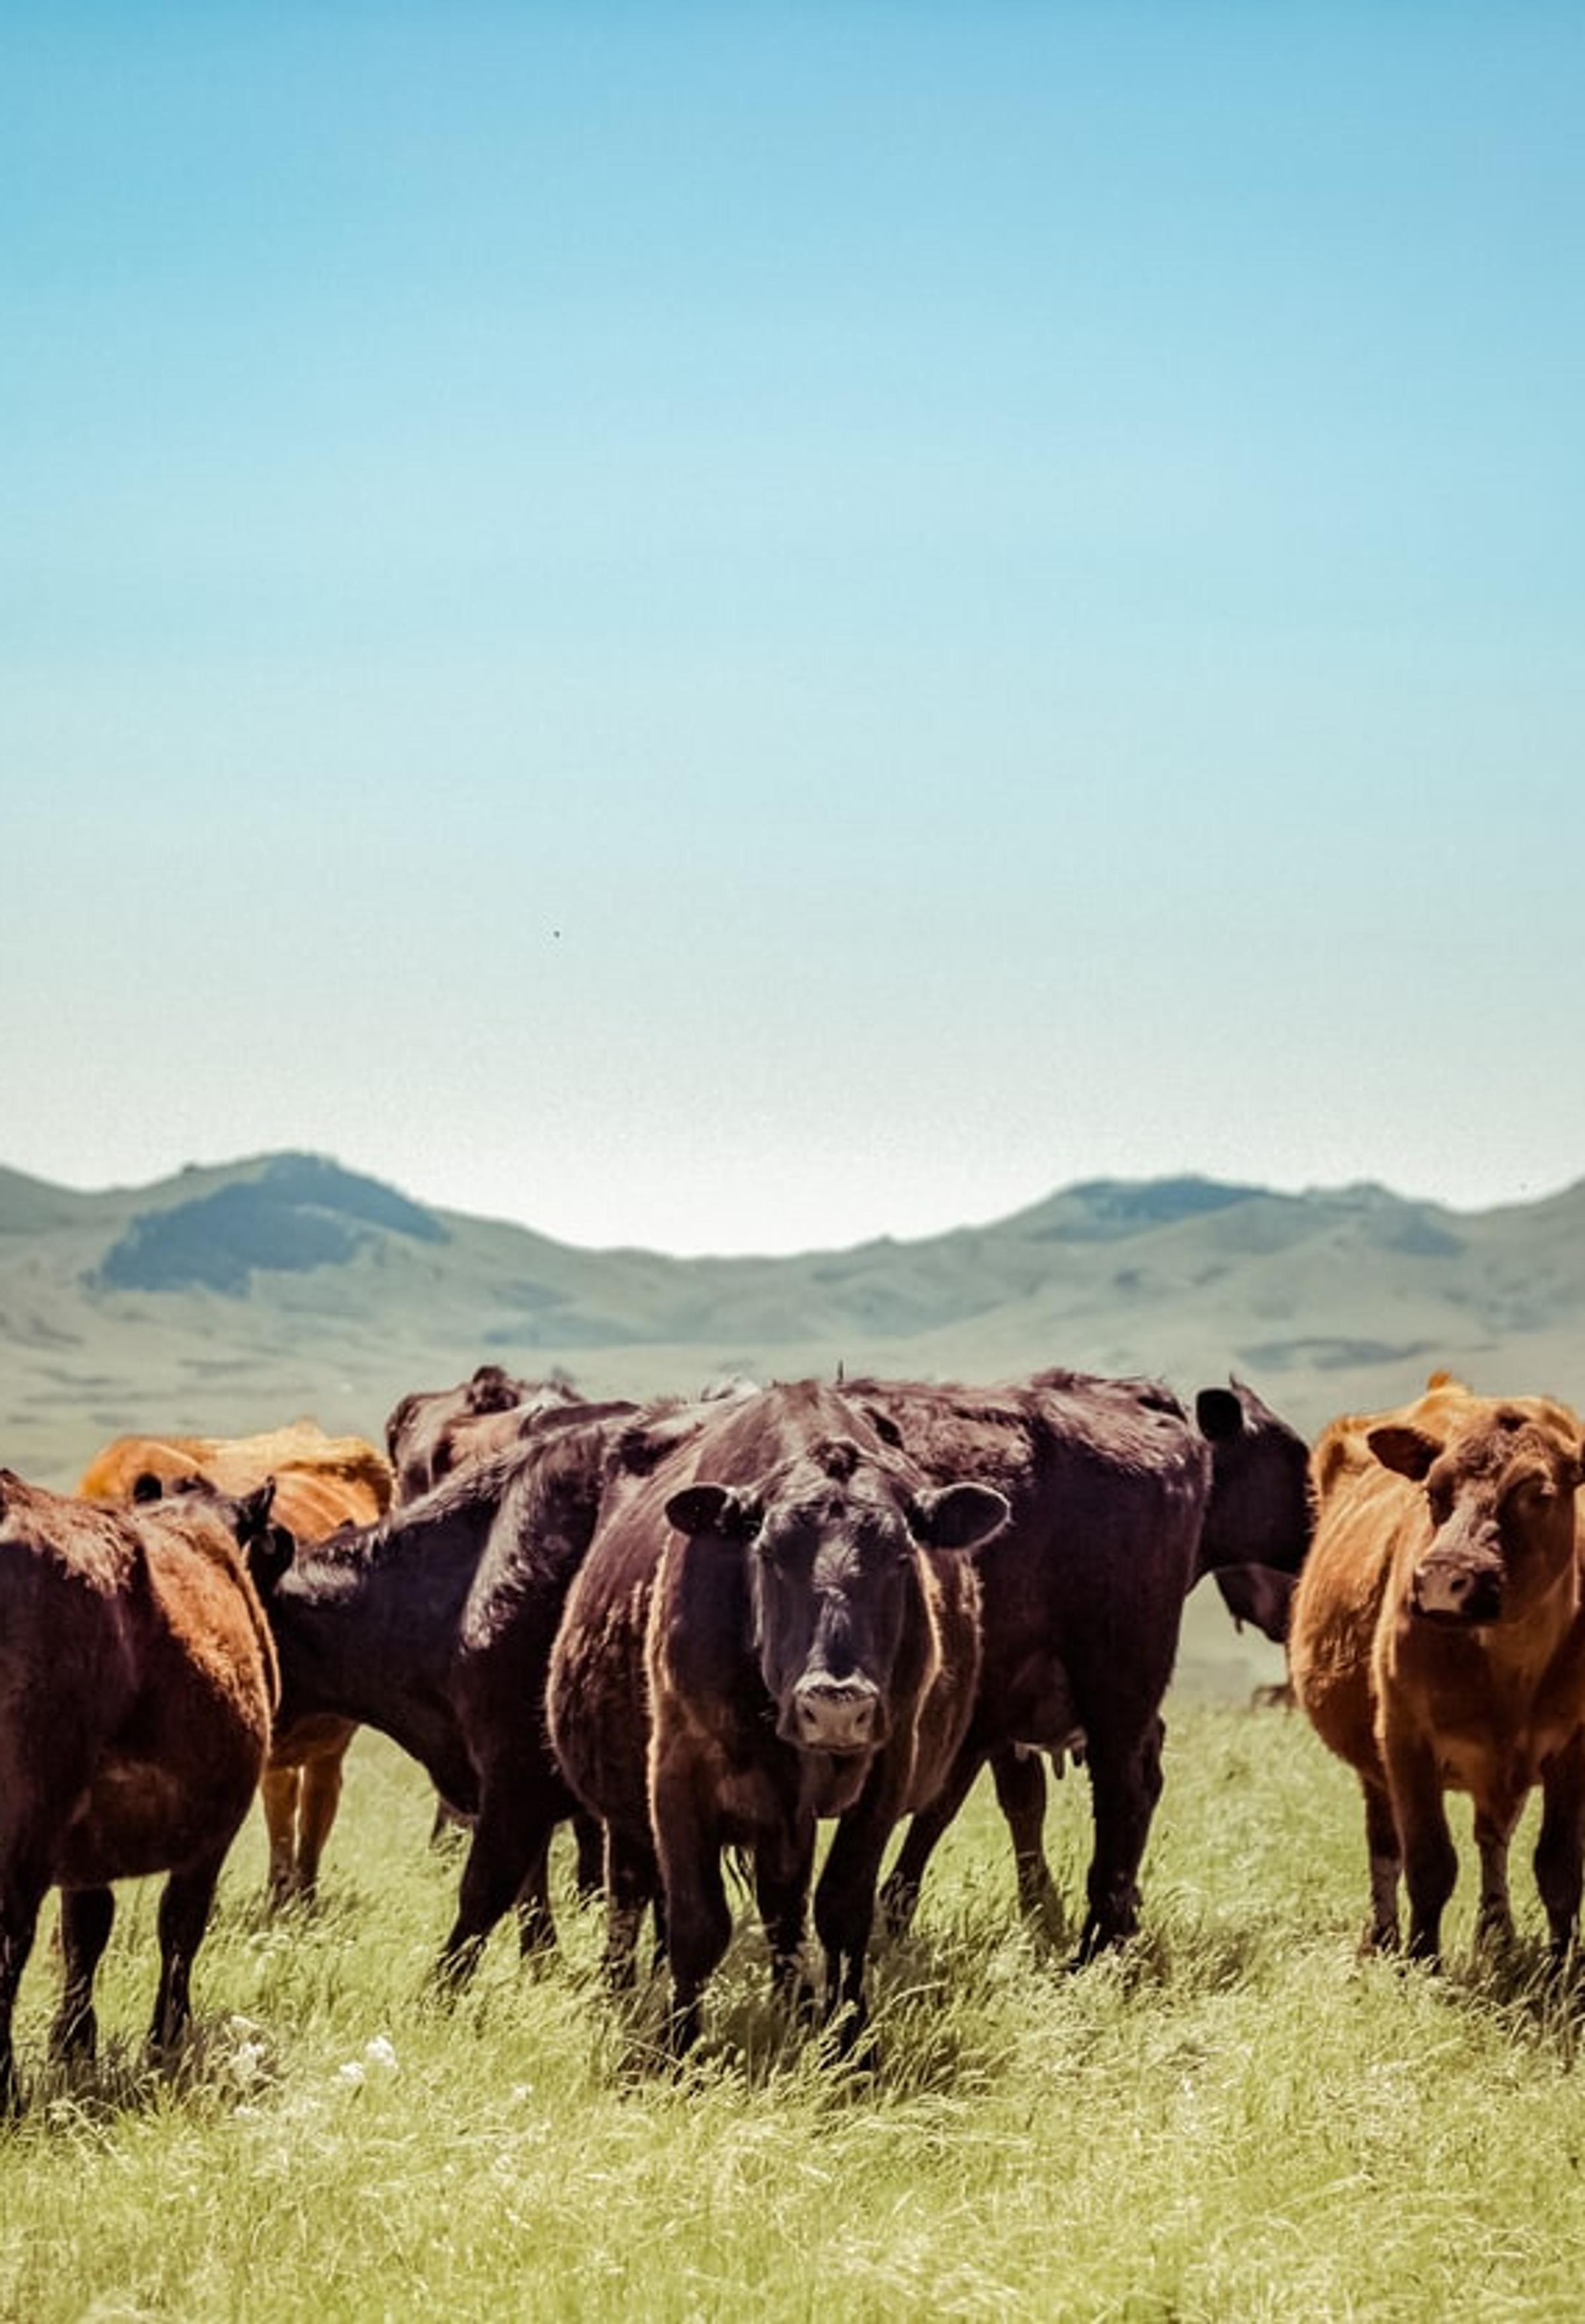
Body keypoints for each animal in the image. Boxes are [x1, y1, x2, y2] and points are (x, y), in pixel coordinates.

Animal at [0, 1468, 283, 2108]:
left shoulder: (85, 1848)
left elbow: (85, 1930)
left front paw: (73, 2044)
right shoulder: (215, 1832)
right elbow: (181, 1925)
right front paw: (167, 2038)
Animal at [545, 1380, 1009, 2053]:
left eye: (901, 1556)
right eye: (767, 1552)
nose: (835, 1705)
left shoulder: (885, 1769)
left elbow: (842, 1907)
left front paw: (849, 2038)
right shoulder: (677, 1771)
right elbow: (696, 1922)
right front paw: (676, 2046)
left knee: (782, 1907)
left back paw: (797, 2004)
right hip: (628, 1809)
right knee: (631, 1889)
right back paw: (620, 1987)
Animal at [844, 1370, 1312, 1955]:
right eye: (1296, 1455)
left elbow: (957, 1805)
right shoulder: (996, 1717)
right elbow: (999, 1802)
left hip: (1116, 1684)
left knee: (1125, 1788)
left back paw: (1101, 1941)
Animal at [1288, 1375, 1585, 1963]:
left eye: (1538, 1494)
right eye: (1431, 1492)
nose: (1446, 1578)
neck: (1512, 1667)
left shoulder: (1575, 1745)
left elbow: (1559, 1867)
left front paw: (1561, 1962)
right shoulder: (1406, 1737)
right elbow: (1428, 1862)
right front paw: (1423, 1959)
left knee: (1493, 1835)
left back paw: (1497, 1932)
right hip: (1375, 1766)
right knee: (1385, 1844)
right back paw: (1384, 1936)